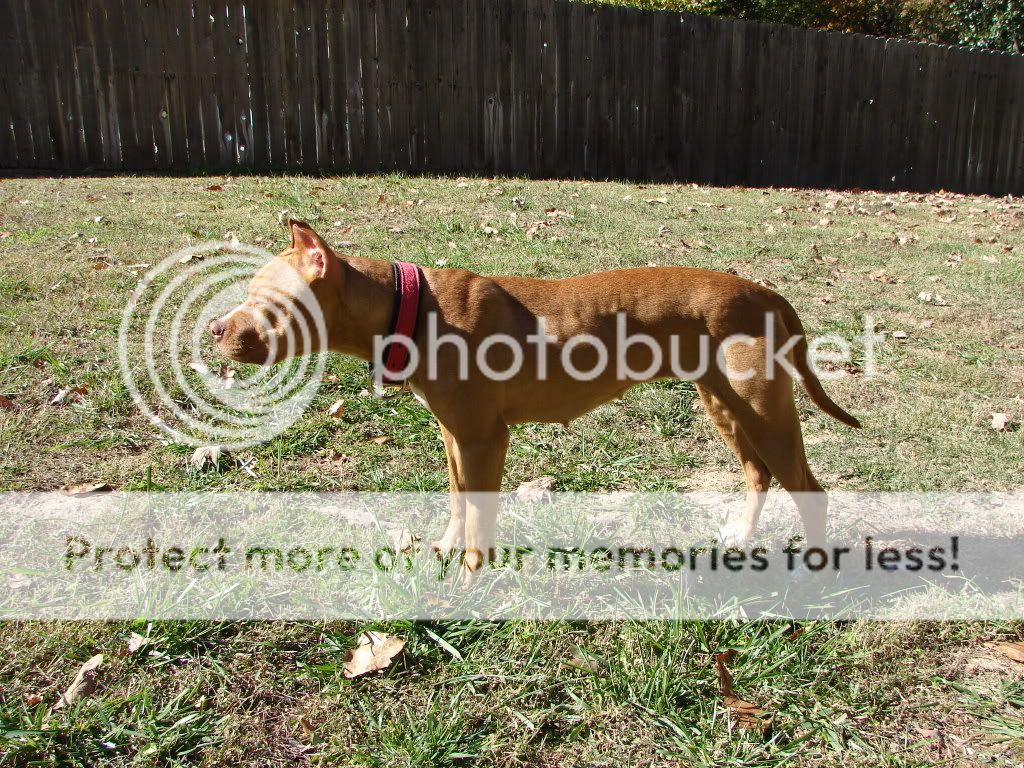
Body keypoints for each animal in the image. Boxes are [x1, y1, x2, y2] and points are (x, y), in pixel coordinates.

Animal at [211, 222, 860, 577]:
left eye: (266, 300)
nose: (214, 329)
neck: (409, 308)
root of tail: (766, 293)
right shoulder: (455, 436)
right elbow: (457, 505)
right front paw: (446, 551)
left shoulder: (483, 440)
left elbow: (480, 518)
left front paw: (473, 580)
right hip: (725, 404)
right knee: (758, 472)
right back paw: (741, 539)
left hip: (763, 412)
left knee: (810, 490)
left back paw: (815, 571)